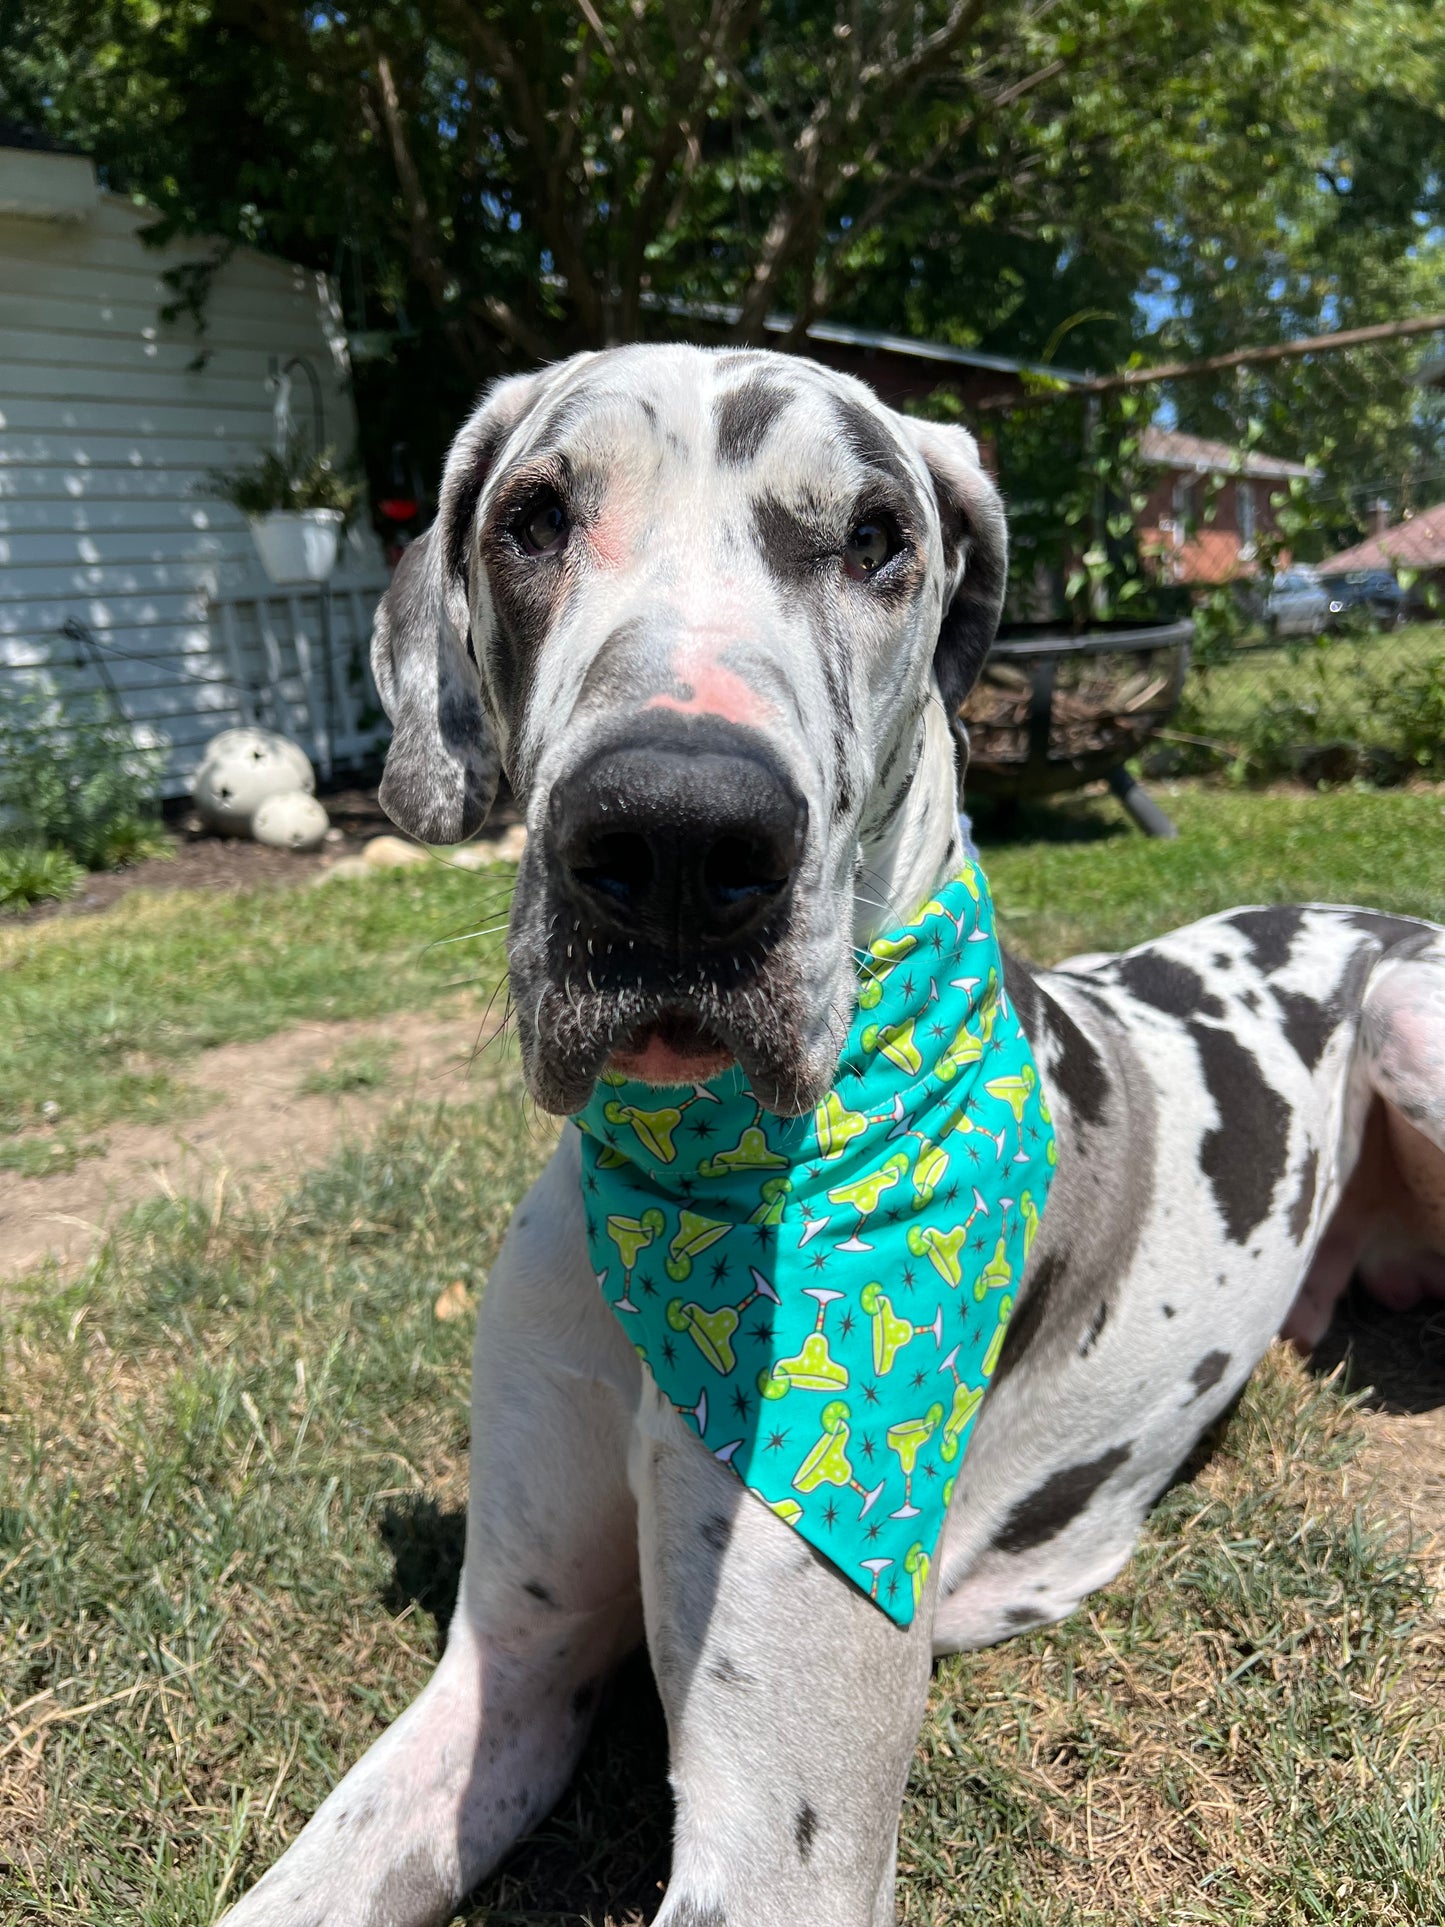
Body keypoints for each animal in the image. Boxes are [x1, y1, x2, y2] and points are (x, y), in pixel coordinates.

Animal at [226, 346, 1445, 1927]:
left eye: (874, 537)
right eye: (533, 518)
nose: (676, 840)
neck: (694, 1193)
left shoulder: (774, 1852)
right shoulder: (512, 1658)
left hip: (1411, 1008)